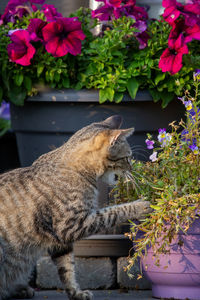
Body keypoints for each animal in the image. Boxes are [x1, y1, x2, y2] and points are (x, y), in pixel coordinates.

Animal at [0, 113, 151, 298]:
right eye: (127, 157)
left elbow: (67, 269)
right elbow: (111, 212)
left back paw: (20, 289)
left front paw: (75, 292)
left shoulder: (60, 242)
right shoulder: (71, 224)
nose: (131, 168)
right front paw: (139, 206)